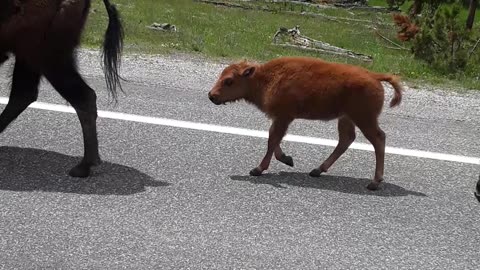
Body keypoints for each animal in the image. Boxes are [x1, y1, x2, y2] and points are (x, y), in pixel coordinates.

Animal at [208, 56, 404, 190]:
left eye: (229, 81)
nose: (211, 96)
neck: (265, 78)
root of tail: (375, 76)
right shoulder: (280, 118)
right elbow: (274, 139)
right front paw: (287, 159)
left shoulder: (284, 117)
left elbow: (272, 140)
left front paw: (257, 169)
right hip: (346, 118)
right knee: (346, 139)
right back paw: (317, 170)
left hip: (364, 119)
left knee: (378, 139)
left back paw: (374, 183)